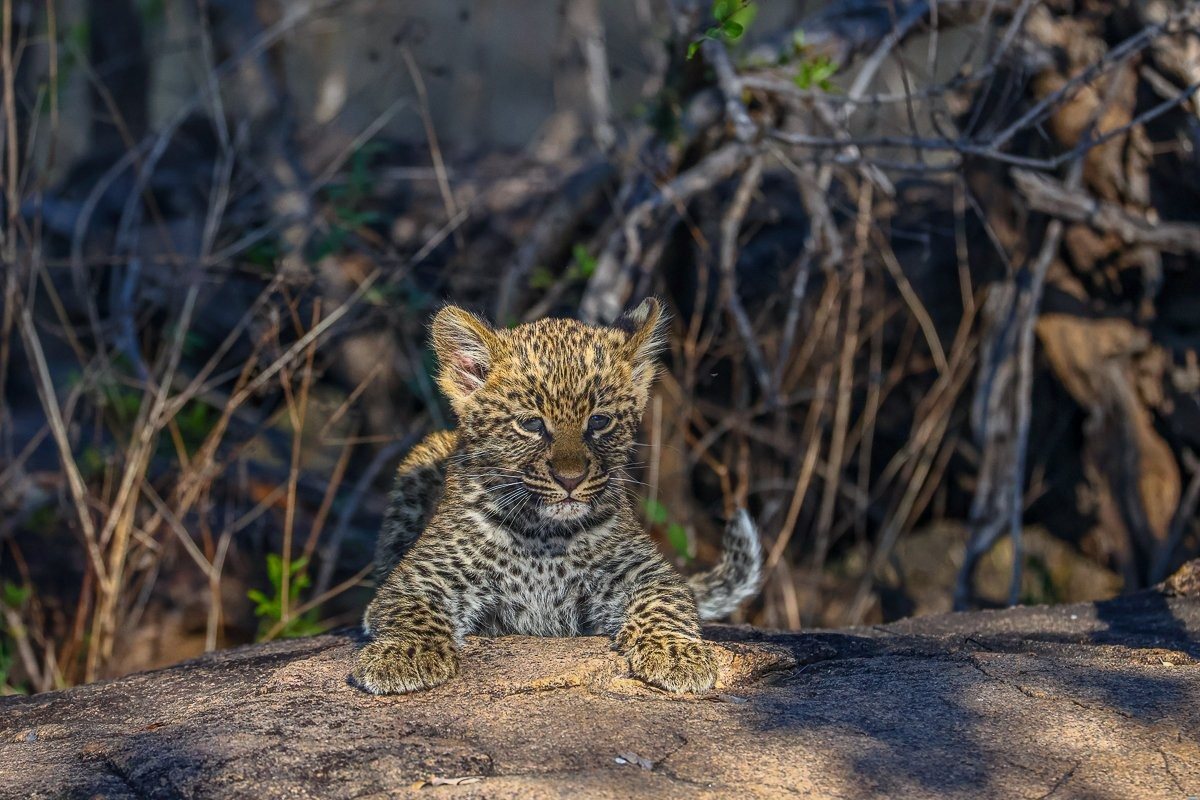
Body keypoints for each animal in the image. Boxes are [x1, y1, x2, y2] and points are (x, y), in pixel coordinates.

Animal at [350, 297, 762, 695]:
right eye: (531, 424)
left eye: (599, 421)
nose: (570, 479)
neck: (544, 535)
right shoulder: (421, 576)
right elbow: (411, 608)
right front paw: (402, 655)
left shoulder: (644, 572)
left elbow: (665, 603)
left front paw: (677, 655)